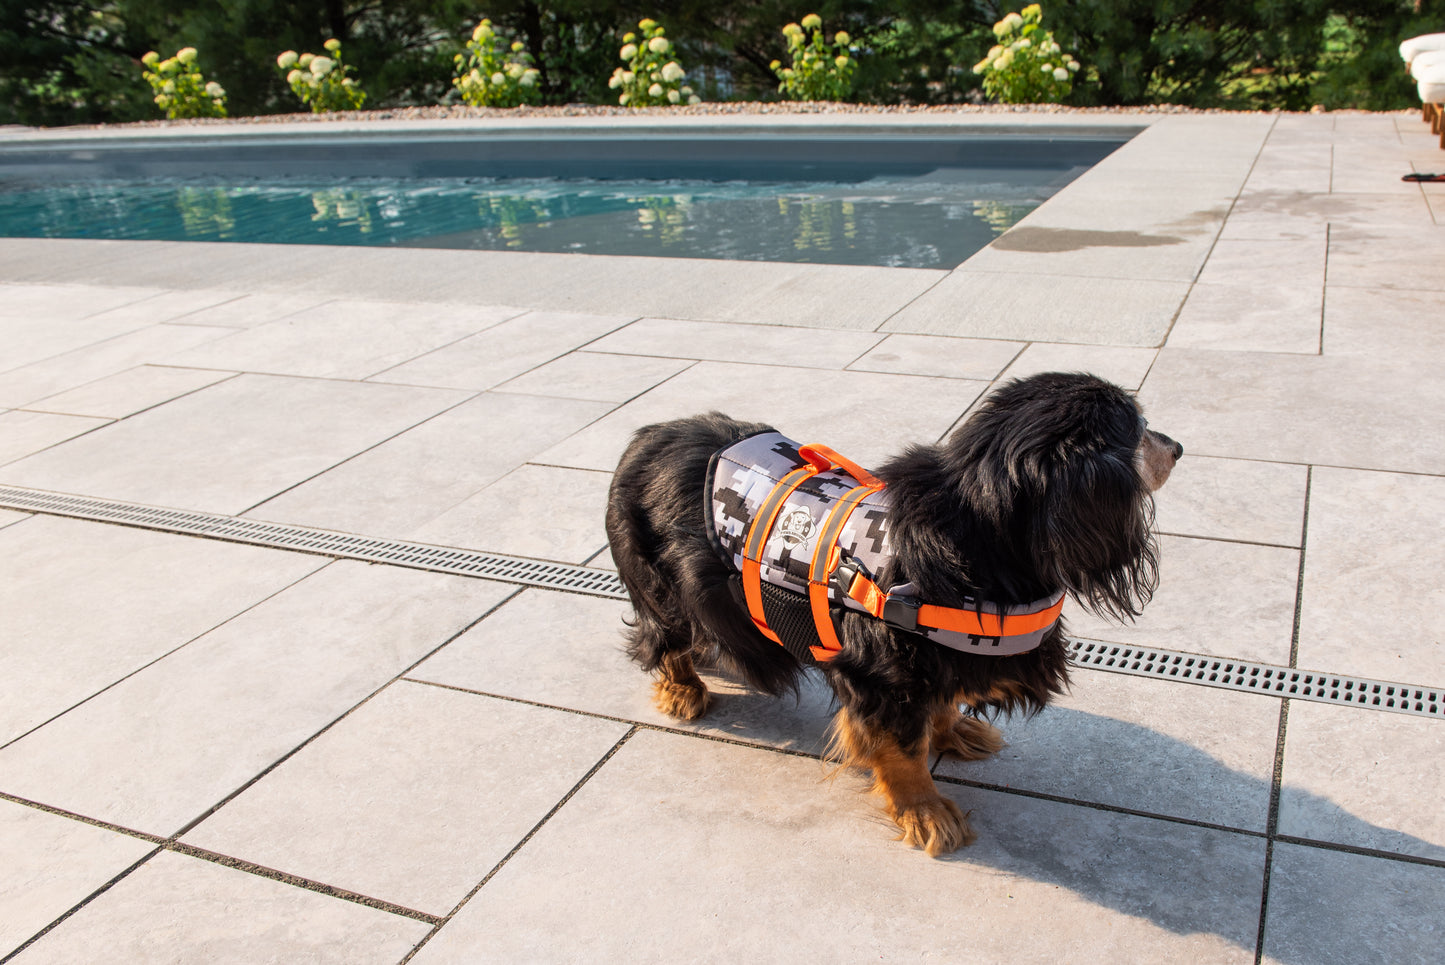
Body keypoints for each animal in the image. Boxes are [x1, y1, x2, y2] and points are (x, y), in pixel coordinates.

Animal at [604, 372, 1179, 855]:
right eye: (1138, 429)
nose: (1177, 447)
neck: (977, 533)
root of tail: (646, 437)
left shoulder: (938, 658)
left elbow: (941, 703)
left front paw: (953, 731)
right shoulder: (882, 675)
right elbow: (903, 751)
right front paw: (925, 811)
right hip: (664, 585)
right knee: (666, 637)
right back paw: (683, 687)